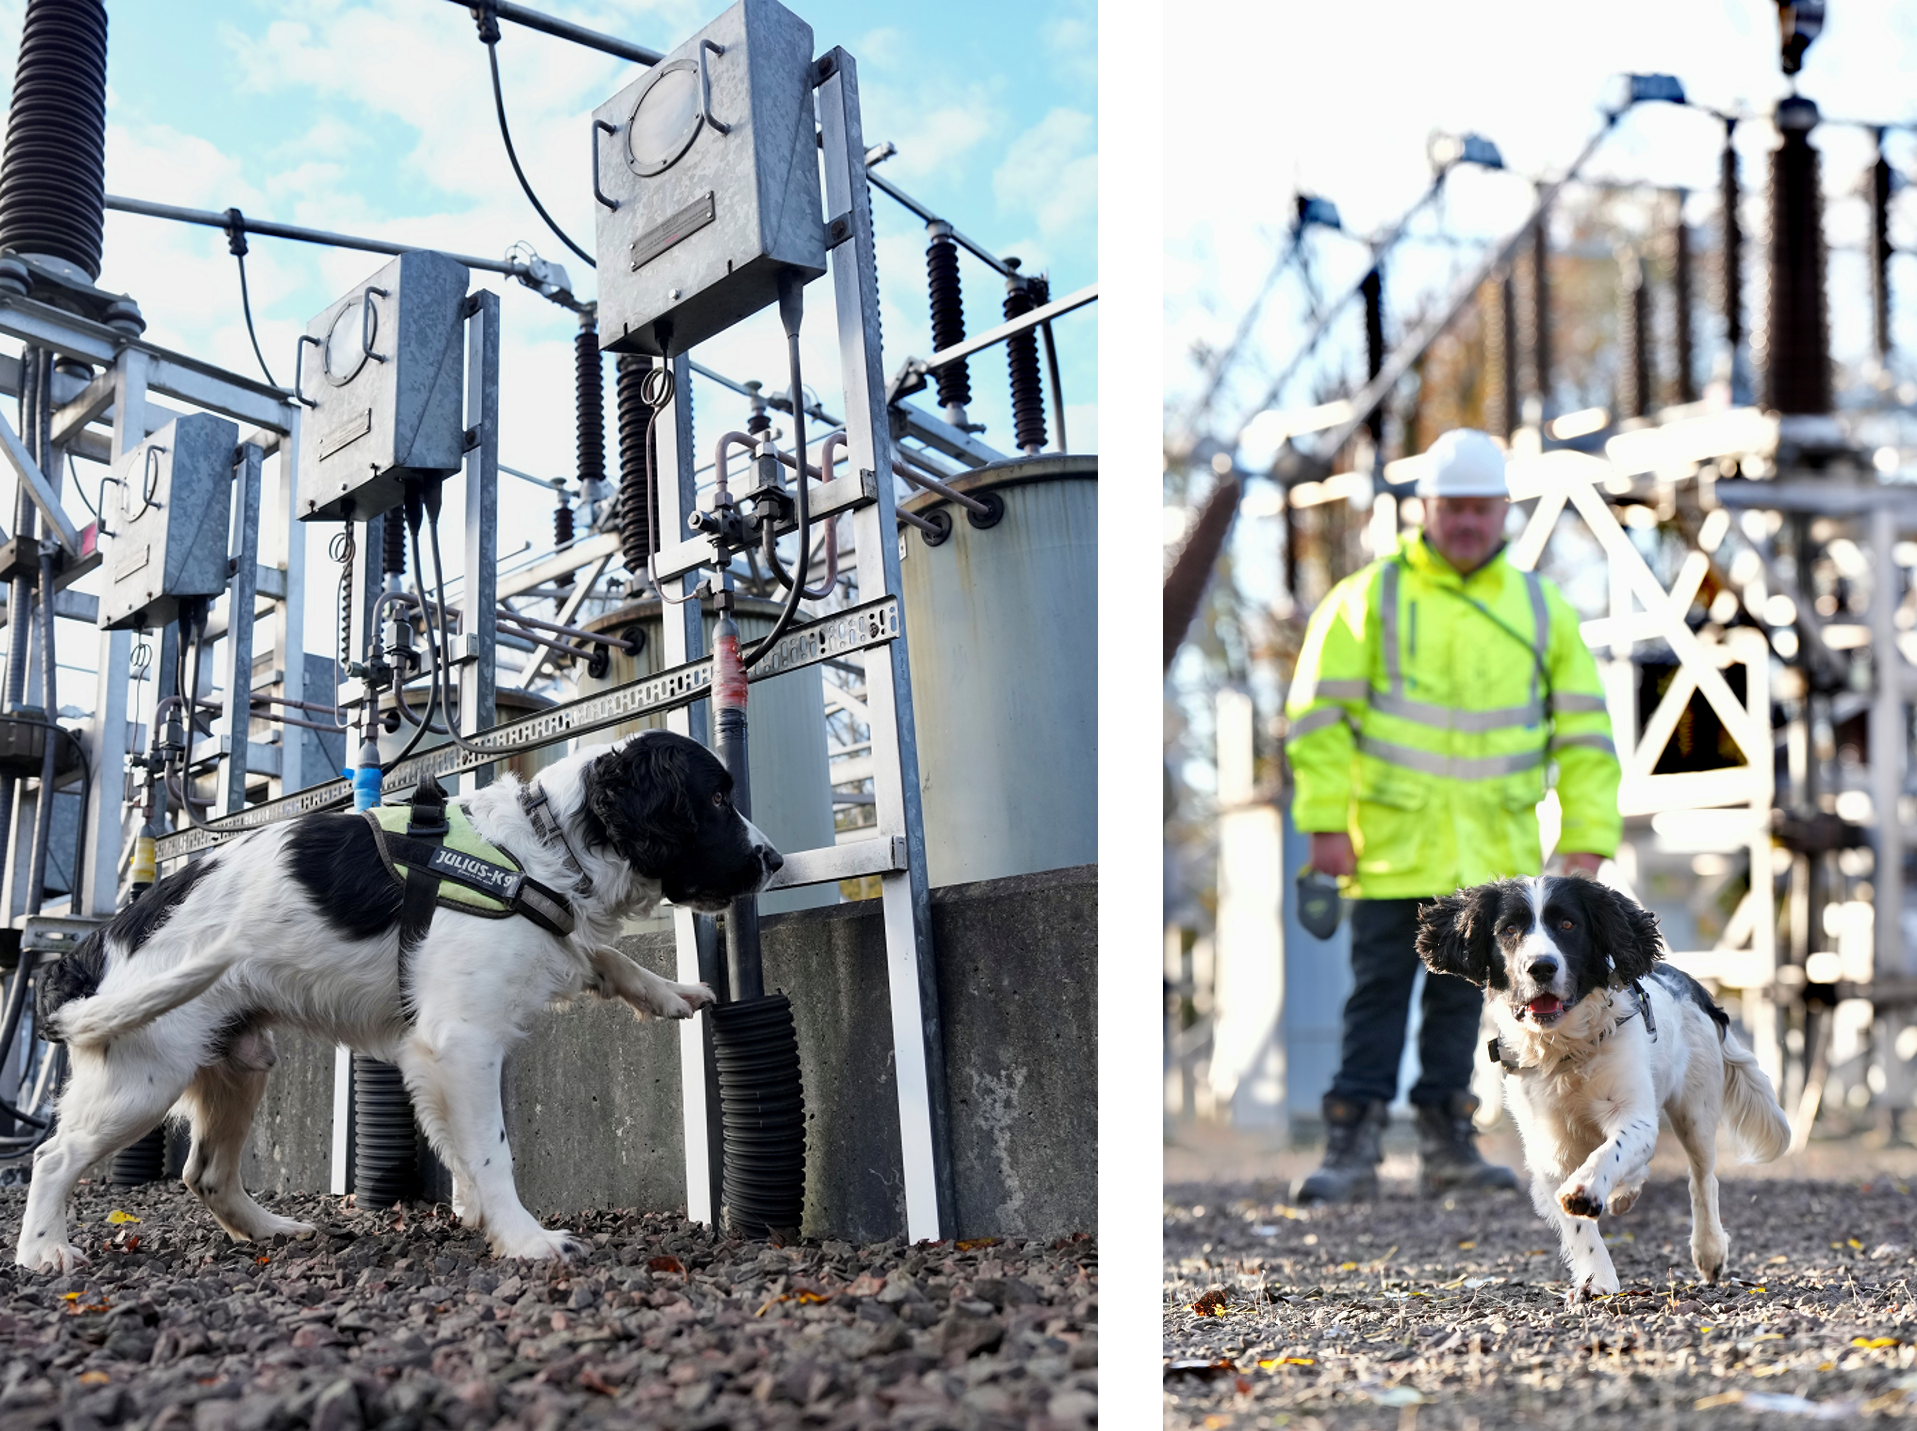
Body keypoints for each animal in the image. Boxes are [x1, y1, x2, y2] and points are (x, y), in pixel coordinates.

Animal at [14, 728, 778, 1266]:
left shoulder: (446, 1043)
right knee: (52, 1157)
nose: (772, 858)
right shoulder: (461, 1041)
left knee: (206, 1174)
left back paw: (271, 1229)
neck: (540, 848)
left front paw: (669, 991)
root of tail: (92, 948)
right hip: (143, 1078)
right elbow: (494, 1151)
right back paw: (43, 1250)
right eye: (716, 798)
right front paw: (526, 1239)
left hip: (238, 1063)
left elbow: (602, 955)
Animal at [1418, 874, 1786, 1296]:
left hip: (1695, 1112)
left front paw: (1586, 1191)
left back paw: (1708, 1250)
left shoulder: (1634, 1114)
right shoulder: (1548, 1147)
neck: (1564, 1050)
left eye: (1568, 924)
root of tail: (1693, 985)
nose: (1541, 967)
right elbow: (1578, 1225)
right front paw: (1598, 1278)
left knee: (1702, 1181)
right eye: (1509, 929)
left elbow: (1611, 1154)